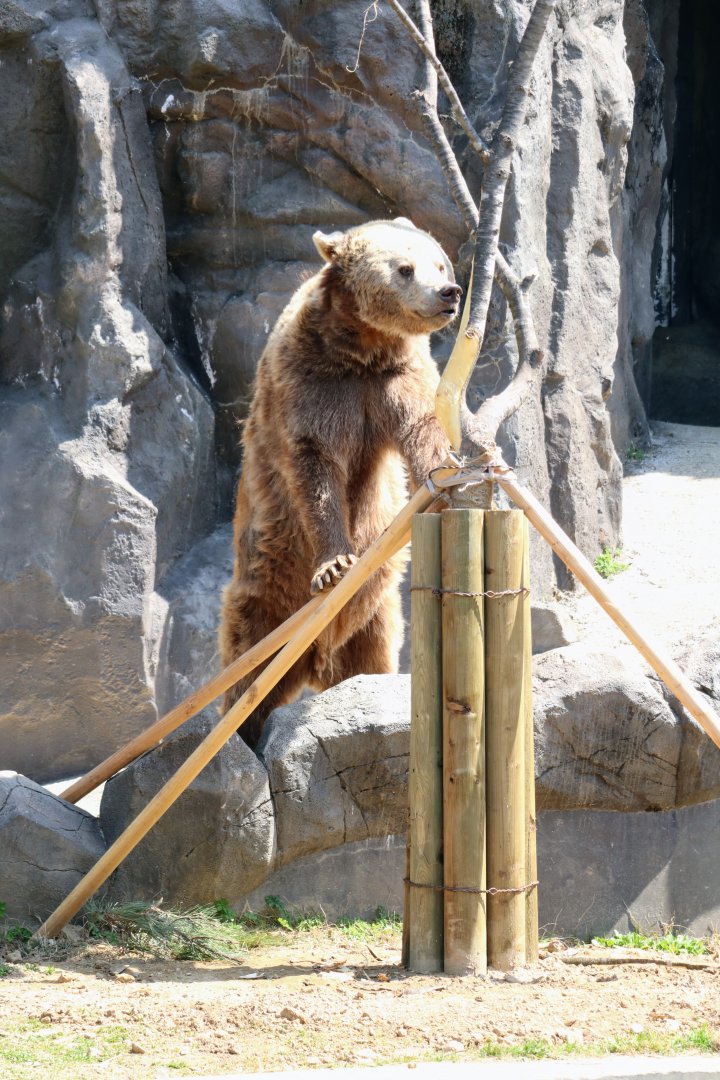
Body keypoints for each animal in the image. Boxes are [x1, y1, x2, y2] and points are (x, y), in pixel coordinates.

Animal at [218, 217, 461, 748]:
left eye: (440, 263)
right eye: (405, 267)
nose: (450, 293)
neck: (362, 349)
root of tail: (315, 659)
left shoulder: (396, 381)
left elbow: (423, 430)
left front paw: (452, 474)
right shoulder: (312, 387)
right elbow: (317, 472)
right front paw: (333, 565)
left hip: (376, 611)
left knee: (372, 653)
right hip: (267, 587)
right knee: (248, 670)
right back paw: (240, 731)